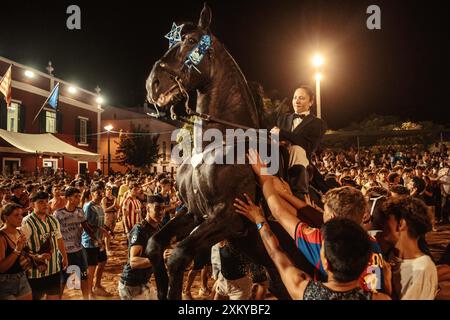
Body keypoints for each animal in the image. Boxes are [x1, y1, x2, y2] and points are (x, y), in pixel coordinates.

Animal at [146, 3, 314, 300]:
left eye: (191, 41)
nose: (152, 84)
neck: (216, 144)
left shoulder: (229, 218)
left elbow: (177, 256)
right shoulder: (194, 213)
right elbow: (155, 244)